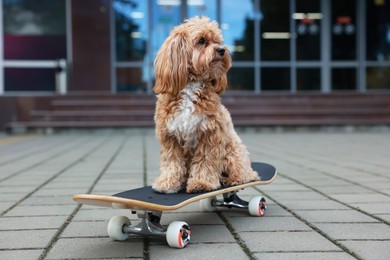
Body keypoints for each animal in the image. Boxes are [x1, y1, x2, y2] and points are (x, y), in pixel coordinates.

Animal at [152, 16, 258, 194]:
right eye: (201, 40)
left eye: (218, 41)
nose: (222, 50)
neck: (191, 85)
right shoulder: (170, 136)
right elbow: (172, 162)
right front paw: (168, 183)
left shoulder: (210, 134)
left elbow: (205, 161)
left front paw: (202, 183)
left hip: (233, 151)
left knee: (245, 175)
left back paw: (230, 180)